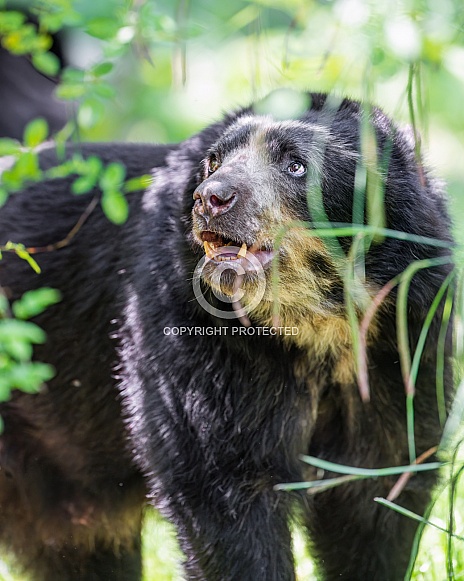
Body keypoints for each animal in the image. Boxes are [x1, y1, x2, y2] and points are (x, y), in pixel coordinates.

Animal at [0, 94, 454, 580]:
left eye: (296, 165)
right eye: (213, 162)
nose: (211, 198)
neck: (315, 328)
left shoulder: (401, 341)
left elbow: (380, 489)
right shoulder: (196, 337)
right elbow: (220, 486)